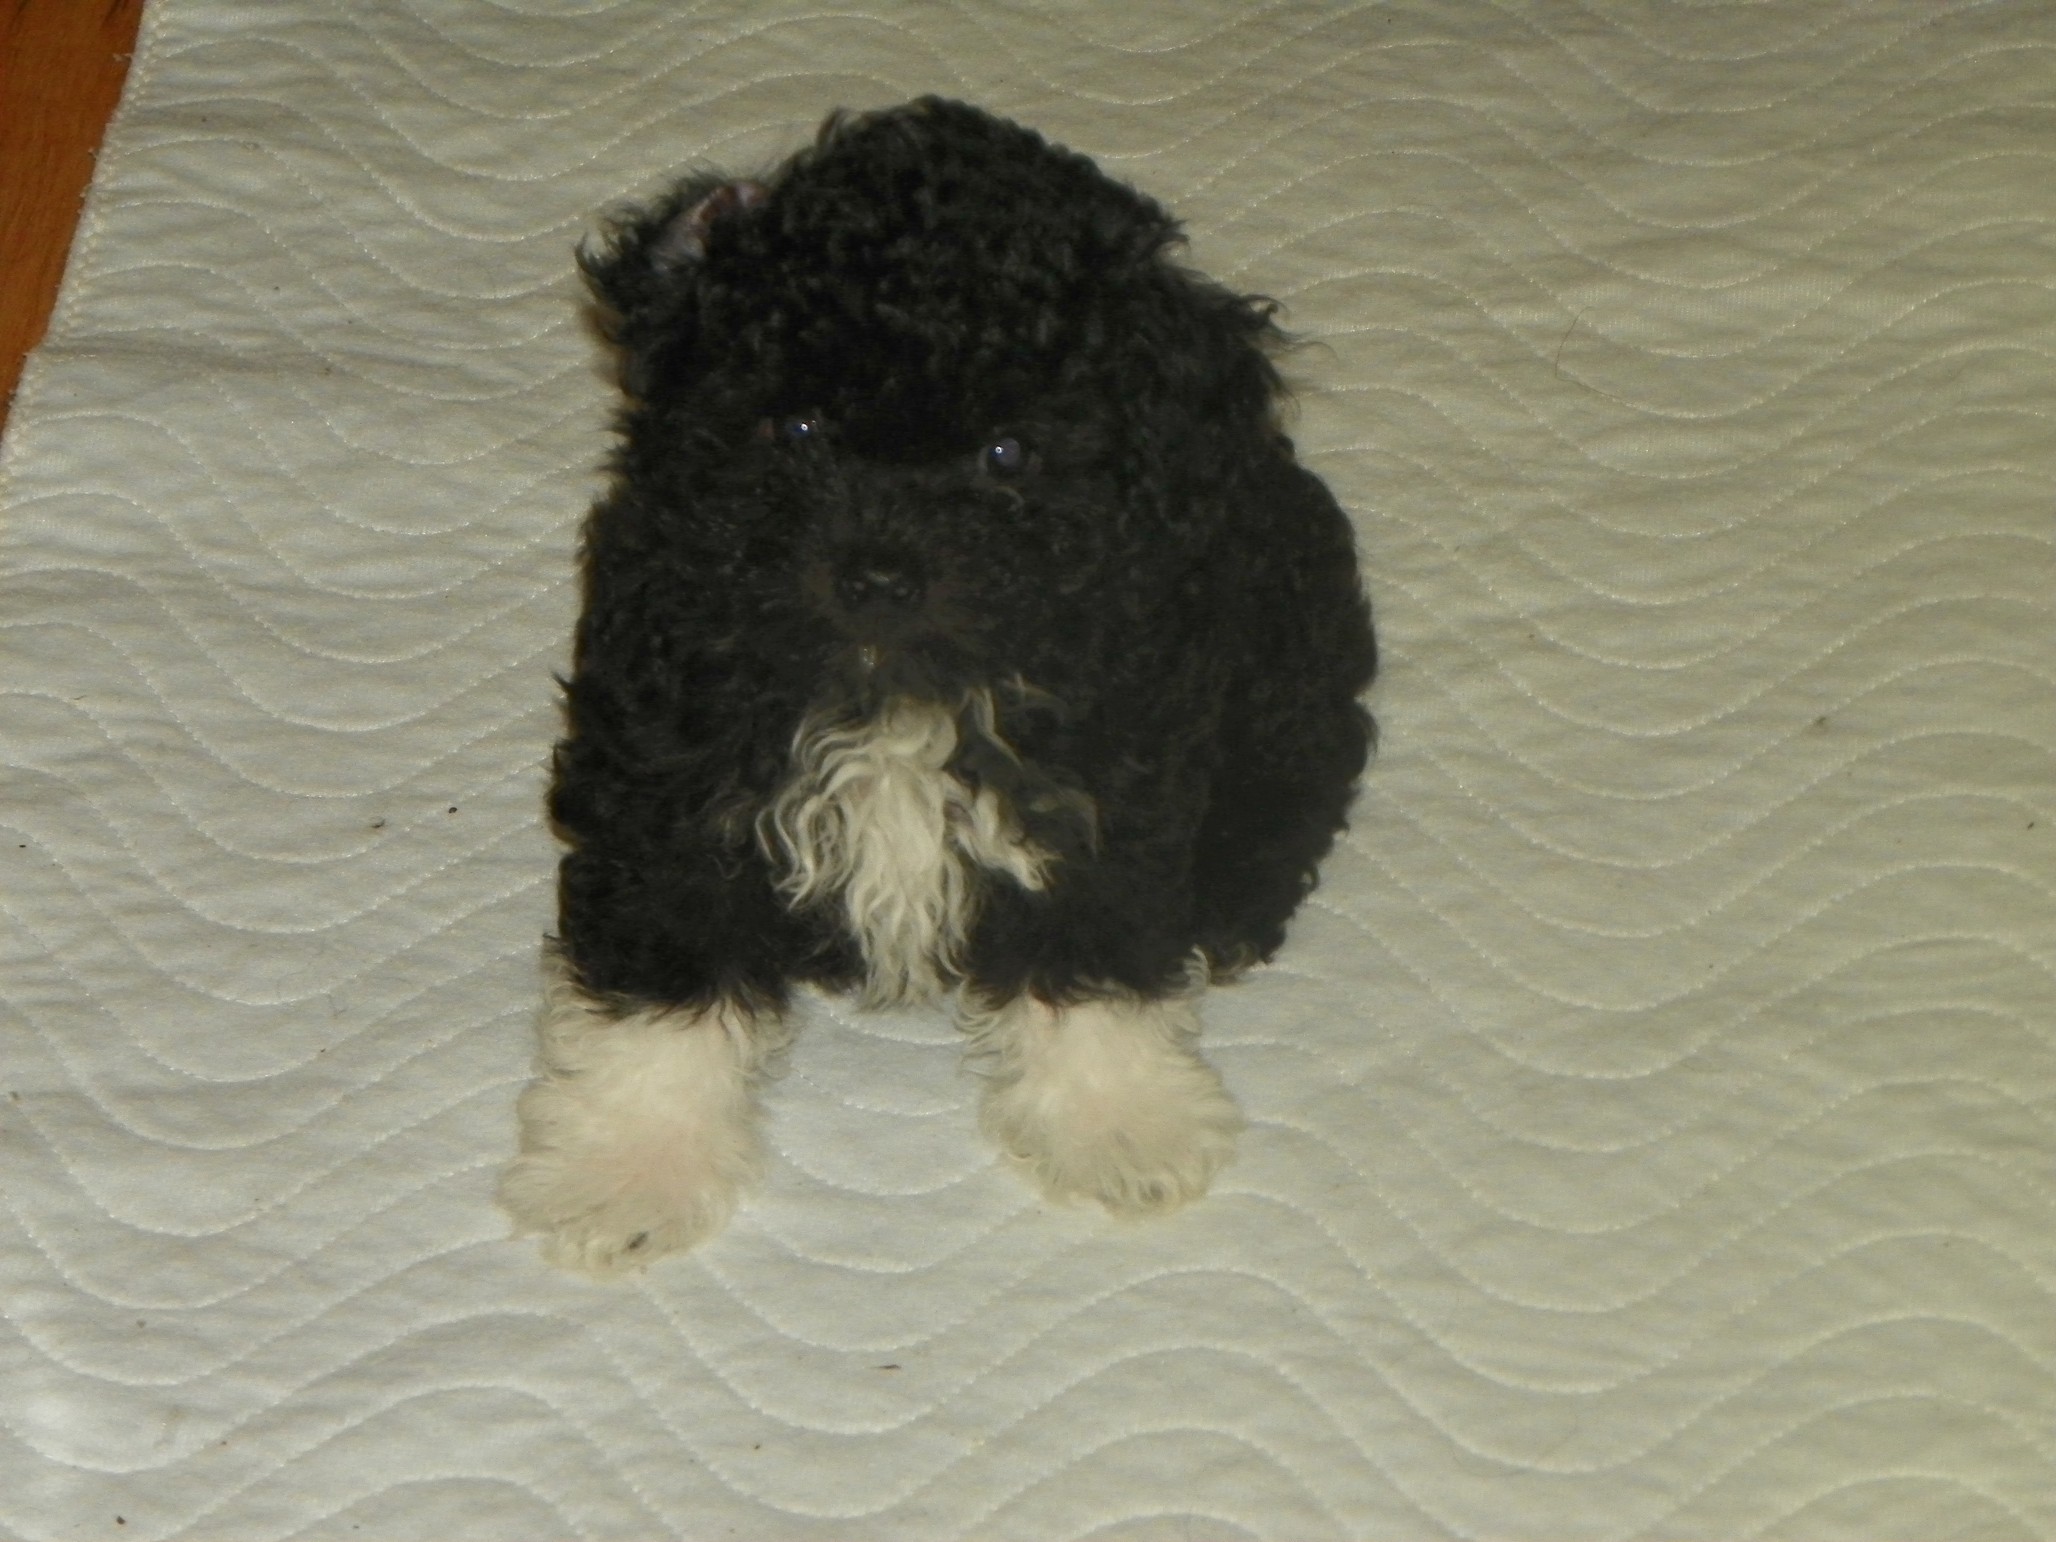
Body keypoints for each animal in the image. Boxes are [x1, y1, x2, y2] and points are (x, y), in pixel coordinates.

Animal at [500, 99, 1376, 1275]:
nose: (878, 572)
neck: (898, 683)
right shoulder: (668, 773)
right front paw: (627, 1168)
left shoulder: (1100, 776)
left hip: (1290, 650)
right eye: (797, 429)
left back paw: (1234, 903)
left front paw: (1119, 1124)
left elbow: (1093, 952)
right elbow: (660, 974)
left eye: (1006, 454)